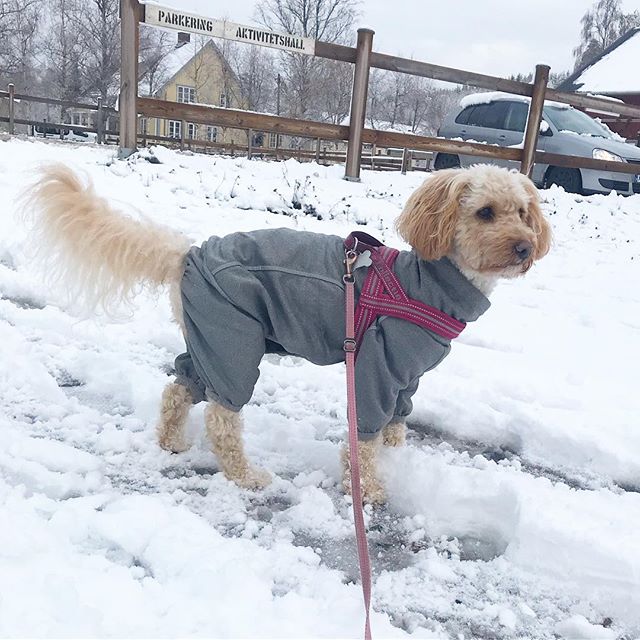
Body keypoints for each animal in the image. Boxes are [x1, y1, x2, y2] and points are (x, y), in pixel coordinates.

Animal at [22, 162, 548, 502]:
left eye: (524, 212)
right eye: (484, 212)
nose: (525, 247)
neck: (426, 285)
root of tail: (189, 253)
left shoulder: (408, 378)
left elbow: (398, 422)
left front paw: (398, 462)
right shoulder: (375, 369)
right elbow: (365, 436)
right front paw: (370, 490)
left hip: (207, 336)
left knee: (179, 387)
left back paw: (171, 442)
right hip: (233, 341)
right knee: (222, 416)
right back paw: (245, 476)